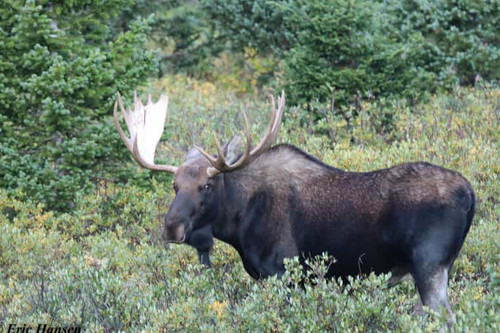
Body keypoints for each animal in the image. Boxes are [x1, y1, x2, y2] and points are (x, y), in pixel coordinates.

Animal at [114, 91, 476, 314]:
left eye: (206, 185)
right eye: (175, 185)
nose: (172, 228)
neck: (239, 221)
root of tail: (470, 194)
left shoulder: (283, 273)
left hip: (429, 265)